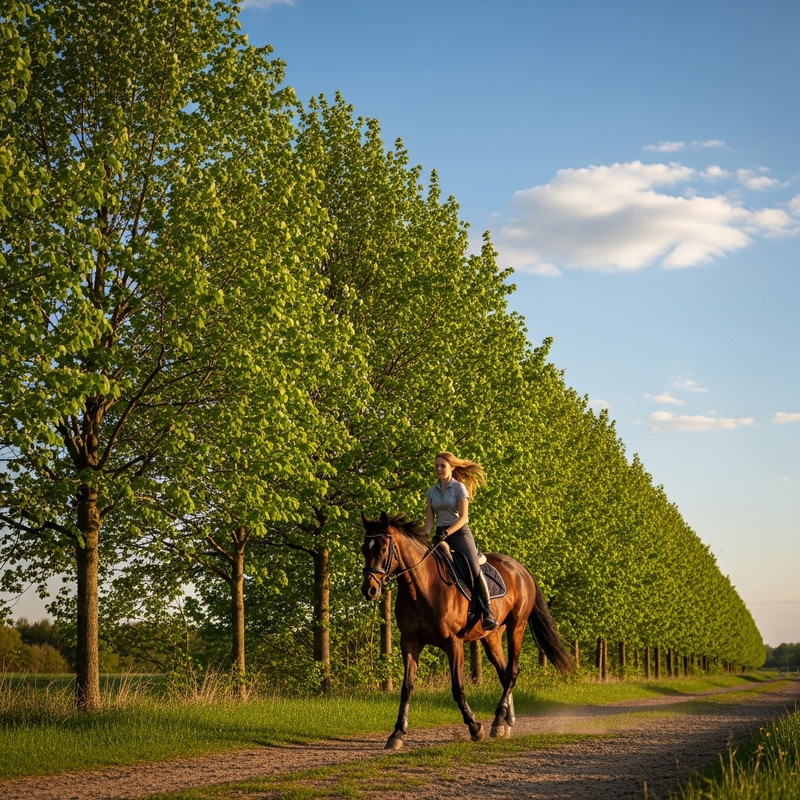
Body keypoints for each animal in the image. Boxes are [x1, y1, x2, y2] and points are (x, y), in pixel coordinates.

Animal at [360, 511, 573, 749]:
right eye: (364, 549)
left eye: (382, 549)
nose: (369, 590)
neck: (423, 587)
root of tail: (520, 568)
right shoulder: (410, 643)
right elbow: (407, 688)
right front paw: (397, 734)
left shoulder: (453, 643)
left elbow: (457, 688)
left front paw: (475, 727)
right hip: (491, 636)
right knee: (504, 671)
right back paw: (505, 722)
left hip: (516, 627)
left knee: (512, 671)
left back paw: (497, 721)